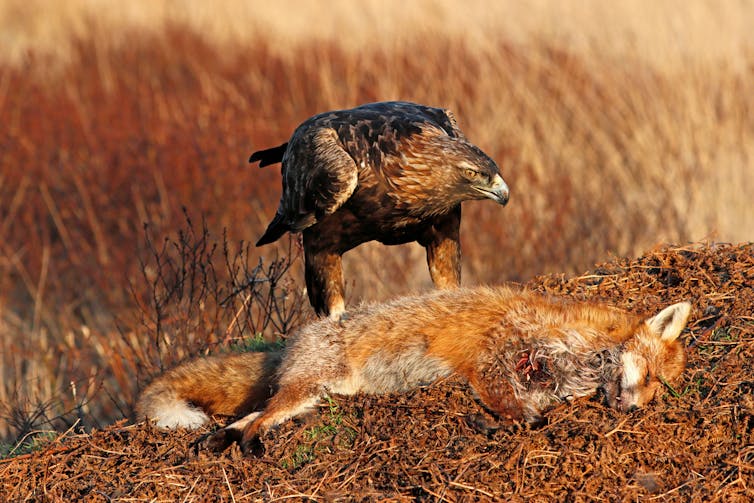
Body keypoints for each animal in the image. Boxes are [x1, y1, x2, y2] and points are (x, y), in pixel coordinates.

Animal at [136, 285, 691, 454]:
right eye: (653, 379)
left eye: (659, 392)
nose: (634, 410)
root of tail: (296, 338)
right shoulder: (492, 361)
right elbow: (524, 415)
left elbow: (528, 414)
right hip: (308, 390)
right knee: (257, 421)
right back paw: (246, 446)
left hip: (316, 397)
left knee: (245, 418)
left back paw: (220, 441)